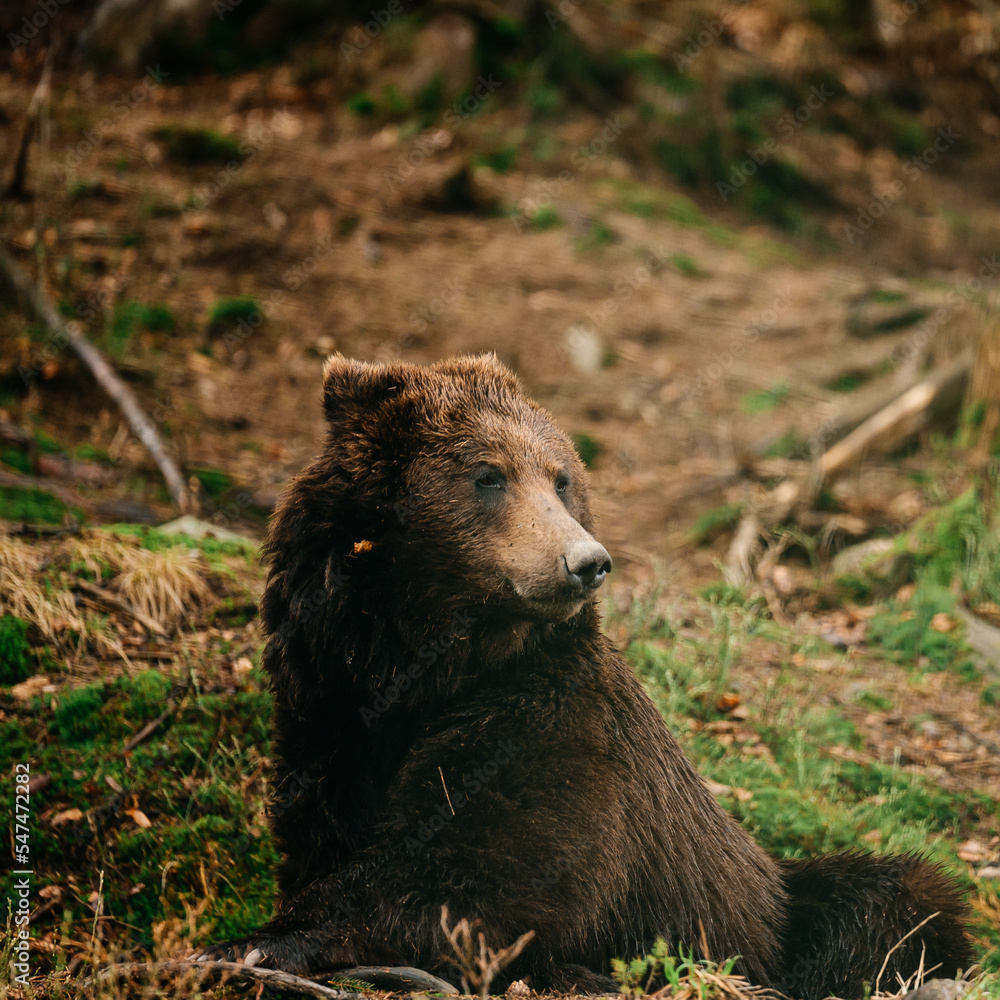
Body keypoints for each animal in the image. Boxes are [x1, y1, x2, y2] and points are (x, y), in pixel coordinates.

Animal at [196, 354, 969, 999]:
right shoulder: (330, 708)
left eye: (560, 476)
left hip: (775, 908)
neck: (428, 662)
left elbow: (472, 875)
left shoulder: (545, 729)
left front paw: (257, 942)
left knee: (897, 898)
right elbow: (327, 831)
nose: (586, 560)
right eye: (487, 475)